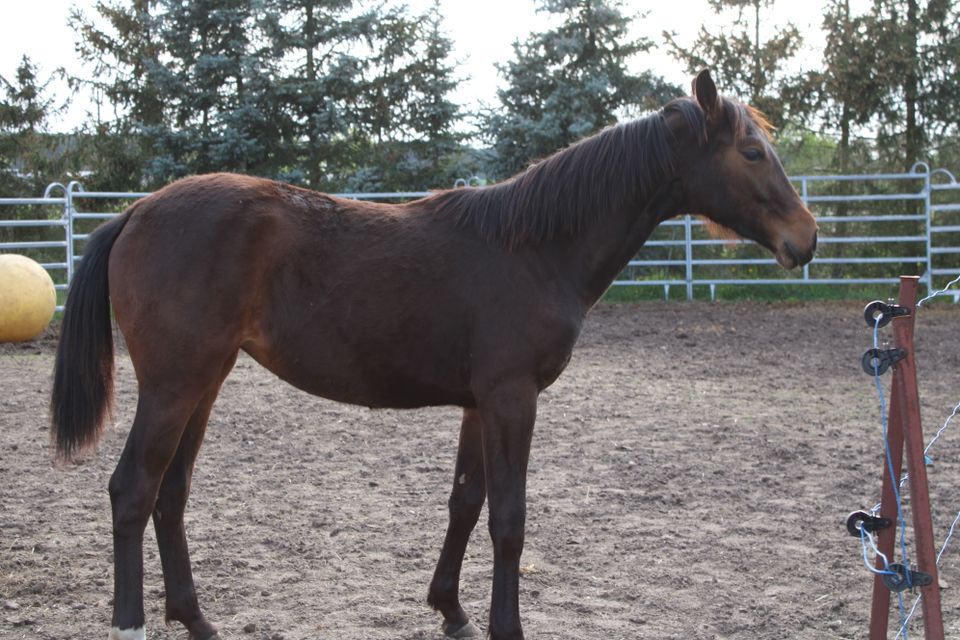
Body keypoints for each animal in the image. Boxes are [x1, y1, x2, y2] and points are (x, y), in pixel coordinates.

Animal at [48, 72, 816, 640]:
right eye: (752, 153)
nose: (805, 239)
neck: (534, 248)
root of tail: (137, 210)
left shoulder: (480, 403)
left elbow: (465, 503)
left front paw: (451, 610)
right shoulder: (511, 398)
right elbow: (509, 517)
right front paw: (506, 626)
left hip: (203, 384)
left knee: (170, 494)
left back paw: (196, 619)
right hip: (174, 385)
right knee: (133, 490)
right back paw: (132, 623)